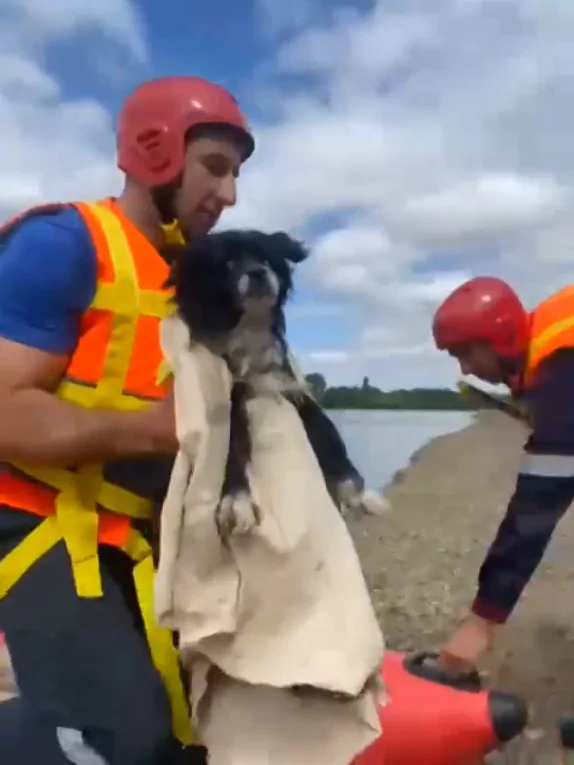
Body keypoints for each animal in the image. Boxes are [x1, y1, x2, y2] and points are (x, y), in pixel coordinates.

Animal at [166, 230, 392, 536]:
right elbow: (230, 450)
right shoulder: (235, 403)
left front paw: (355, 491)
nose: (258, 272)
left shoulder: (295, 394)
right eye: (228, 262)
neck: (250, 331)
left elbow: (331, 439)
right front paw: (236, 502)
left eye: (264, 258)